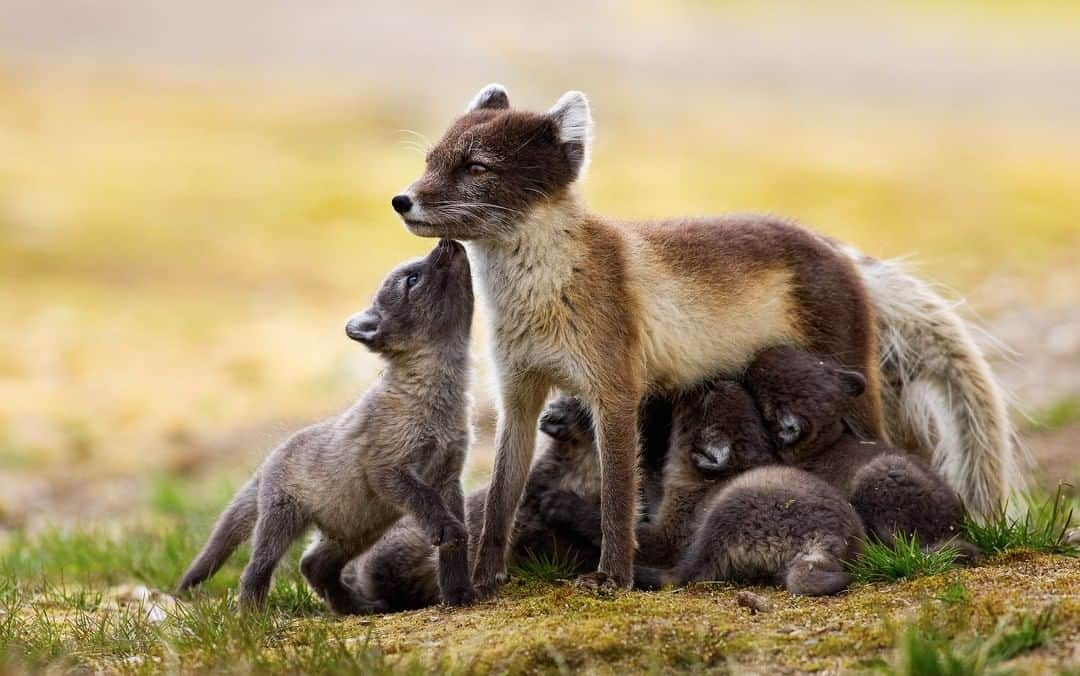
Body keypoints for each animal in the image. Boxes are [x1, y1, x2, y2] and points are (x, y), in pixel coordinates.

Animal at [395, 83, 1010, 587]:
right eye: (430, 160)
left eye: (477, 167)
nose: (402, 200)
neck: (544, 292)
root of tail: (833, 247)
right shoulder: (518, 394)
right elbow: (502, 497)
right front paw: (484, 580)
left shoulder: (615, 392)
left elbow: (618, 500)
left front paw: (612, 579)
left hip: (854, 391)